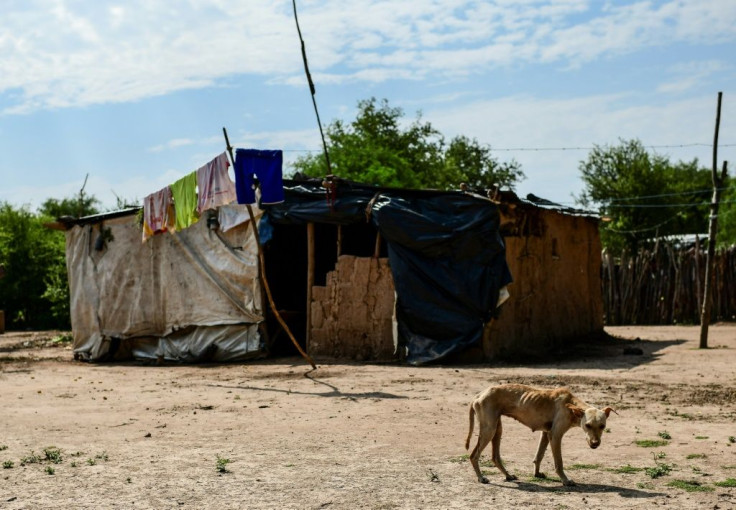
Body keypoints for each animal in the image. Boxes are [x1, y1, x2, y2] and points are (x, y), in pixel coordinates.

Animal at [466, 382, 616, 486]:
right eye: (587, 425)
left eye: (602, 426)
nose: (595, 444)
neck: (570, 405)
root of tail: (479, 395)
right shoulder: (555, 436)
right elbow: (559, 463)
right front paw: (565, 480)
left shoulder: (546, 434)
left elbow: (539, 456)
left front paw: (537, 473)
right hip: (489, 430)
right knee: (474, 455)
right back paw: (481, 477)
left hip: (497, 430)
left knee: (495, 457)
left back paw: (508, 475)